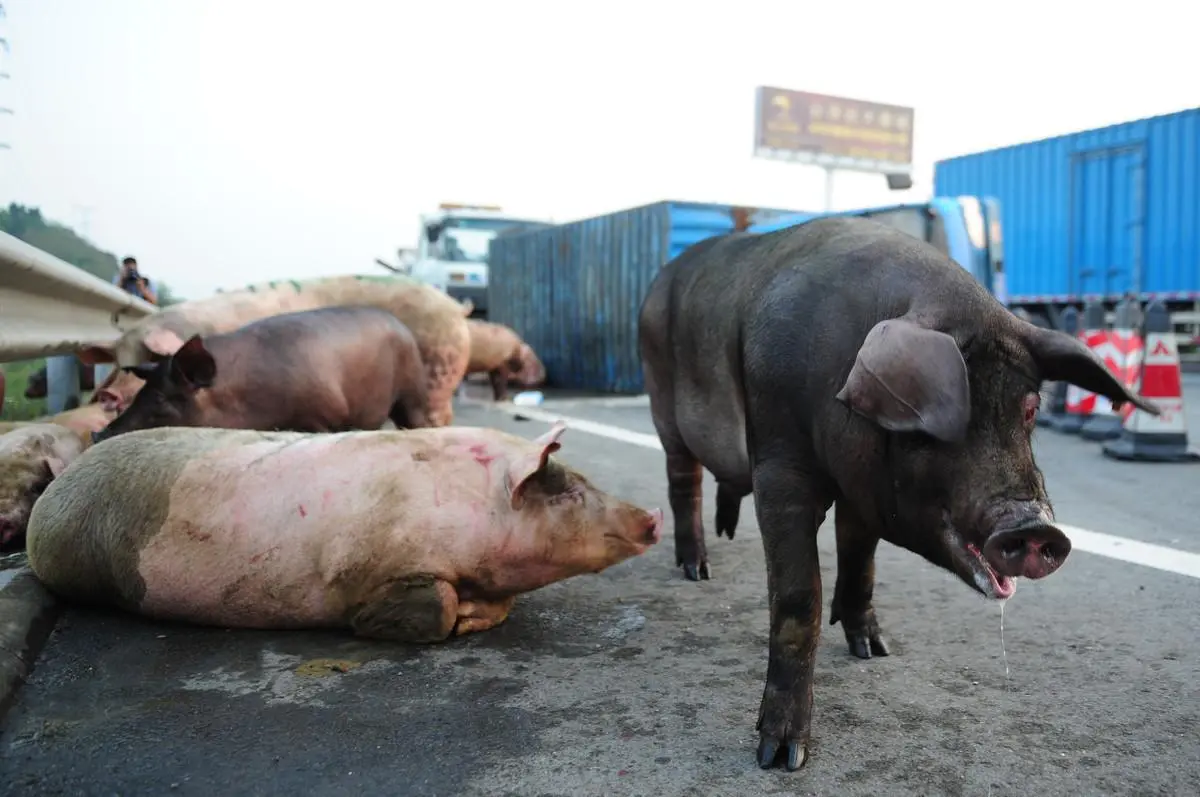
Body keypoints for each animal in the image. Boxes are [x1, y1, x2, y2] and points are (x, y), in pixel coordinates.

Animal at [25, 422, 667, 643]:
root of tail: (50, 495)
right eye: (570, 490)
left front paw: (476, 616)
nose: (653, 517)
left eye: (583, 478)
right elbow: (432, 606)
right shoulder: (376, 564)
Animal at [92, 304, 432, 441]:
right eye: (142, 391)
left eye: (163, 398)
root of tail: (403, 326)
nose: (98, 434)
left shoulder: (322, 416)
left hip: (412, 389)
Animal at [638, 213, 1161, 772]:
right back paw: (697, 570)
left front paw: (875, 650)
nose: (1035, 526)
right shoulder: (778, 461)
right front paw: (782, 757)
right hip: (662, 407)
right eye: (930, 423)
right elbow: (800, 595)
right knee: (683, 483)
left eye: (1030, 408)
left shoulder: (863, 492)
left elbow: (861, 559)